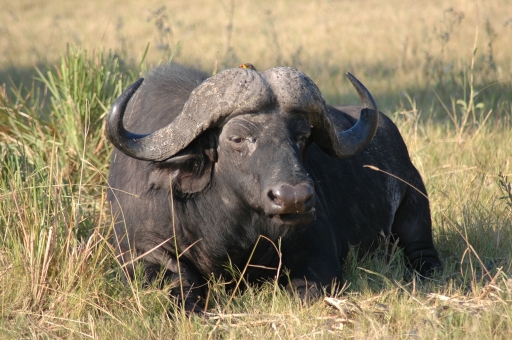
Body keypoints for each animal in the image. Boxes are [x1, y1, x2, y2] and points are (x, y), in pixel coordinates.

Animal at [106, 62, 442, 310]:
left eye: (303, 136)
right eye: (237, 138)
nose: (294, 198)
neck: (231, 228)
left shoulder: (318, 250)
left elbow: (305, 290)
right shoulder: (142, 251)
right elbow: (184, 284)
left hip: (416, 215)